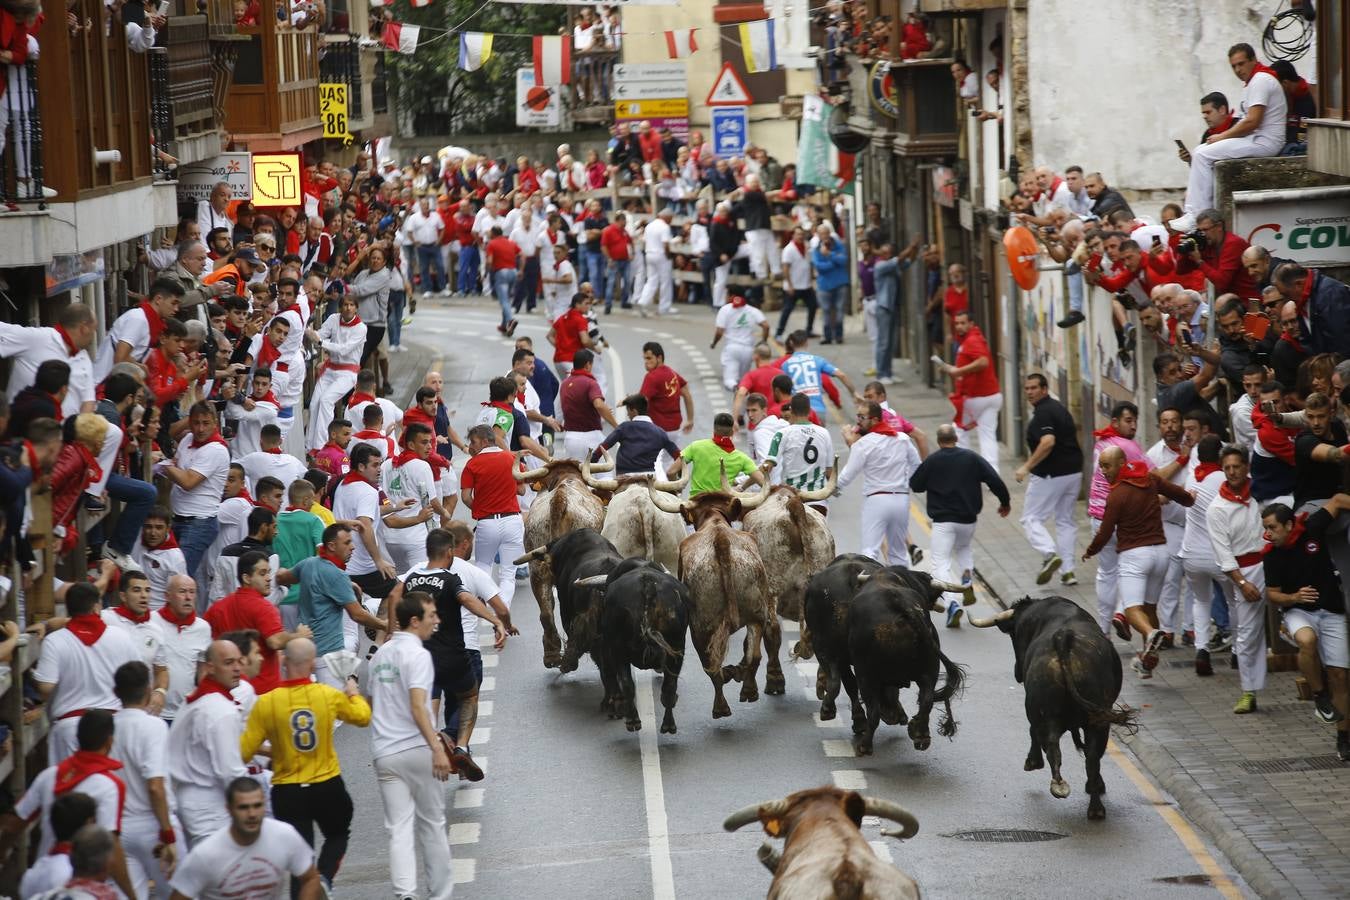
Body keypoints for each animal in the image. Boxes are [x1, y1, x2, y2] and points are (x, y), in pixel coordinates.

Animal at [972, 593, 1139, 820]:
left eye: (1014, 636)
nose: (1017, 672)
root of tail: (1063, 638)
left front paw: (1033, 761)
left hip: (1055, 714)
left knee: (1057, 747)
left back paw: (1061, 785)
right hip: (1097, 721)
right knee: (1090, 756)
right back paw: (1093, 803)